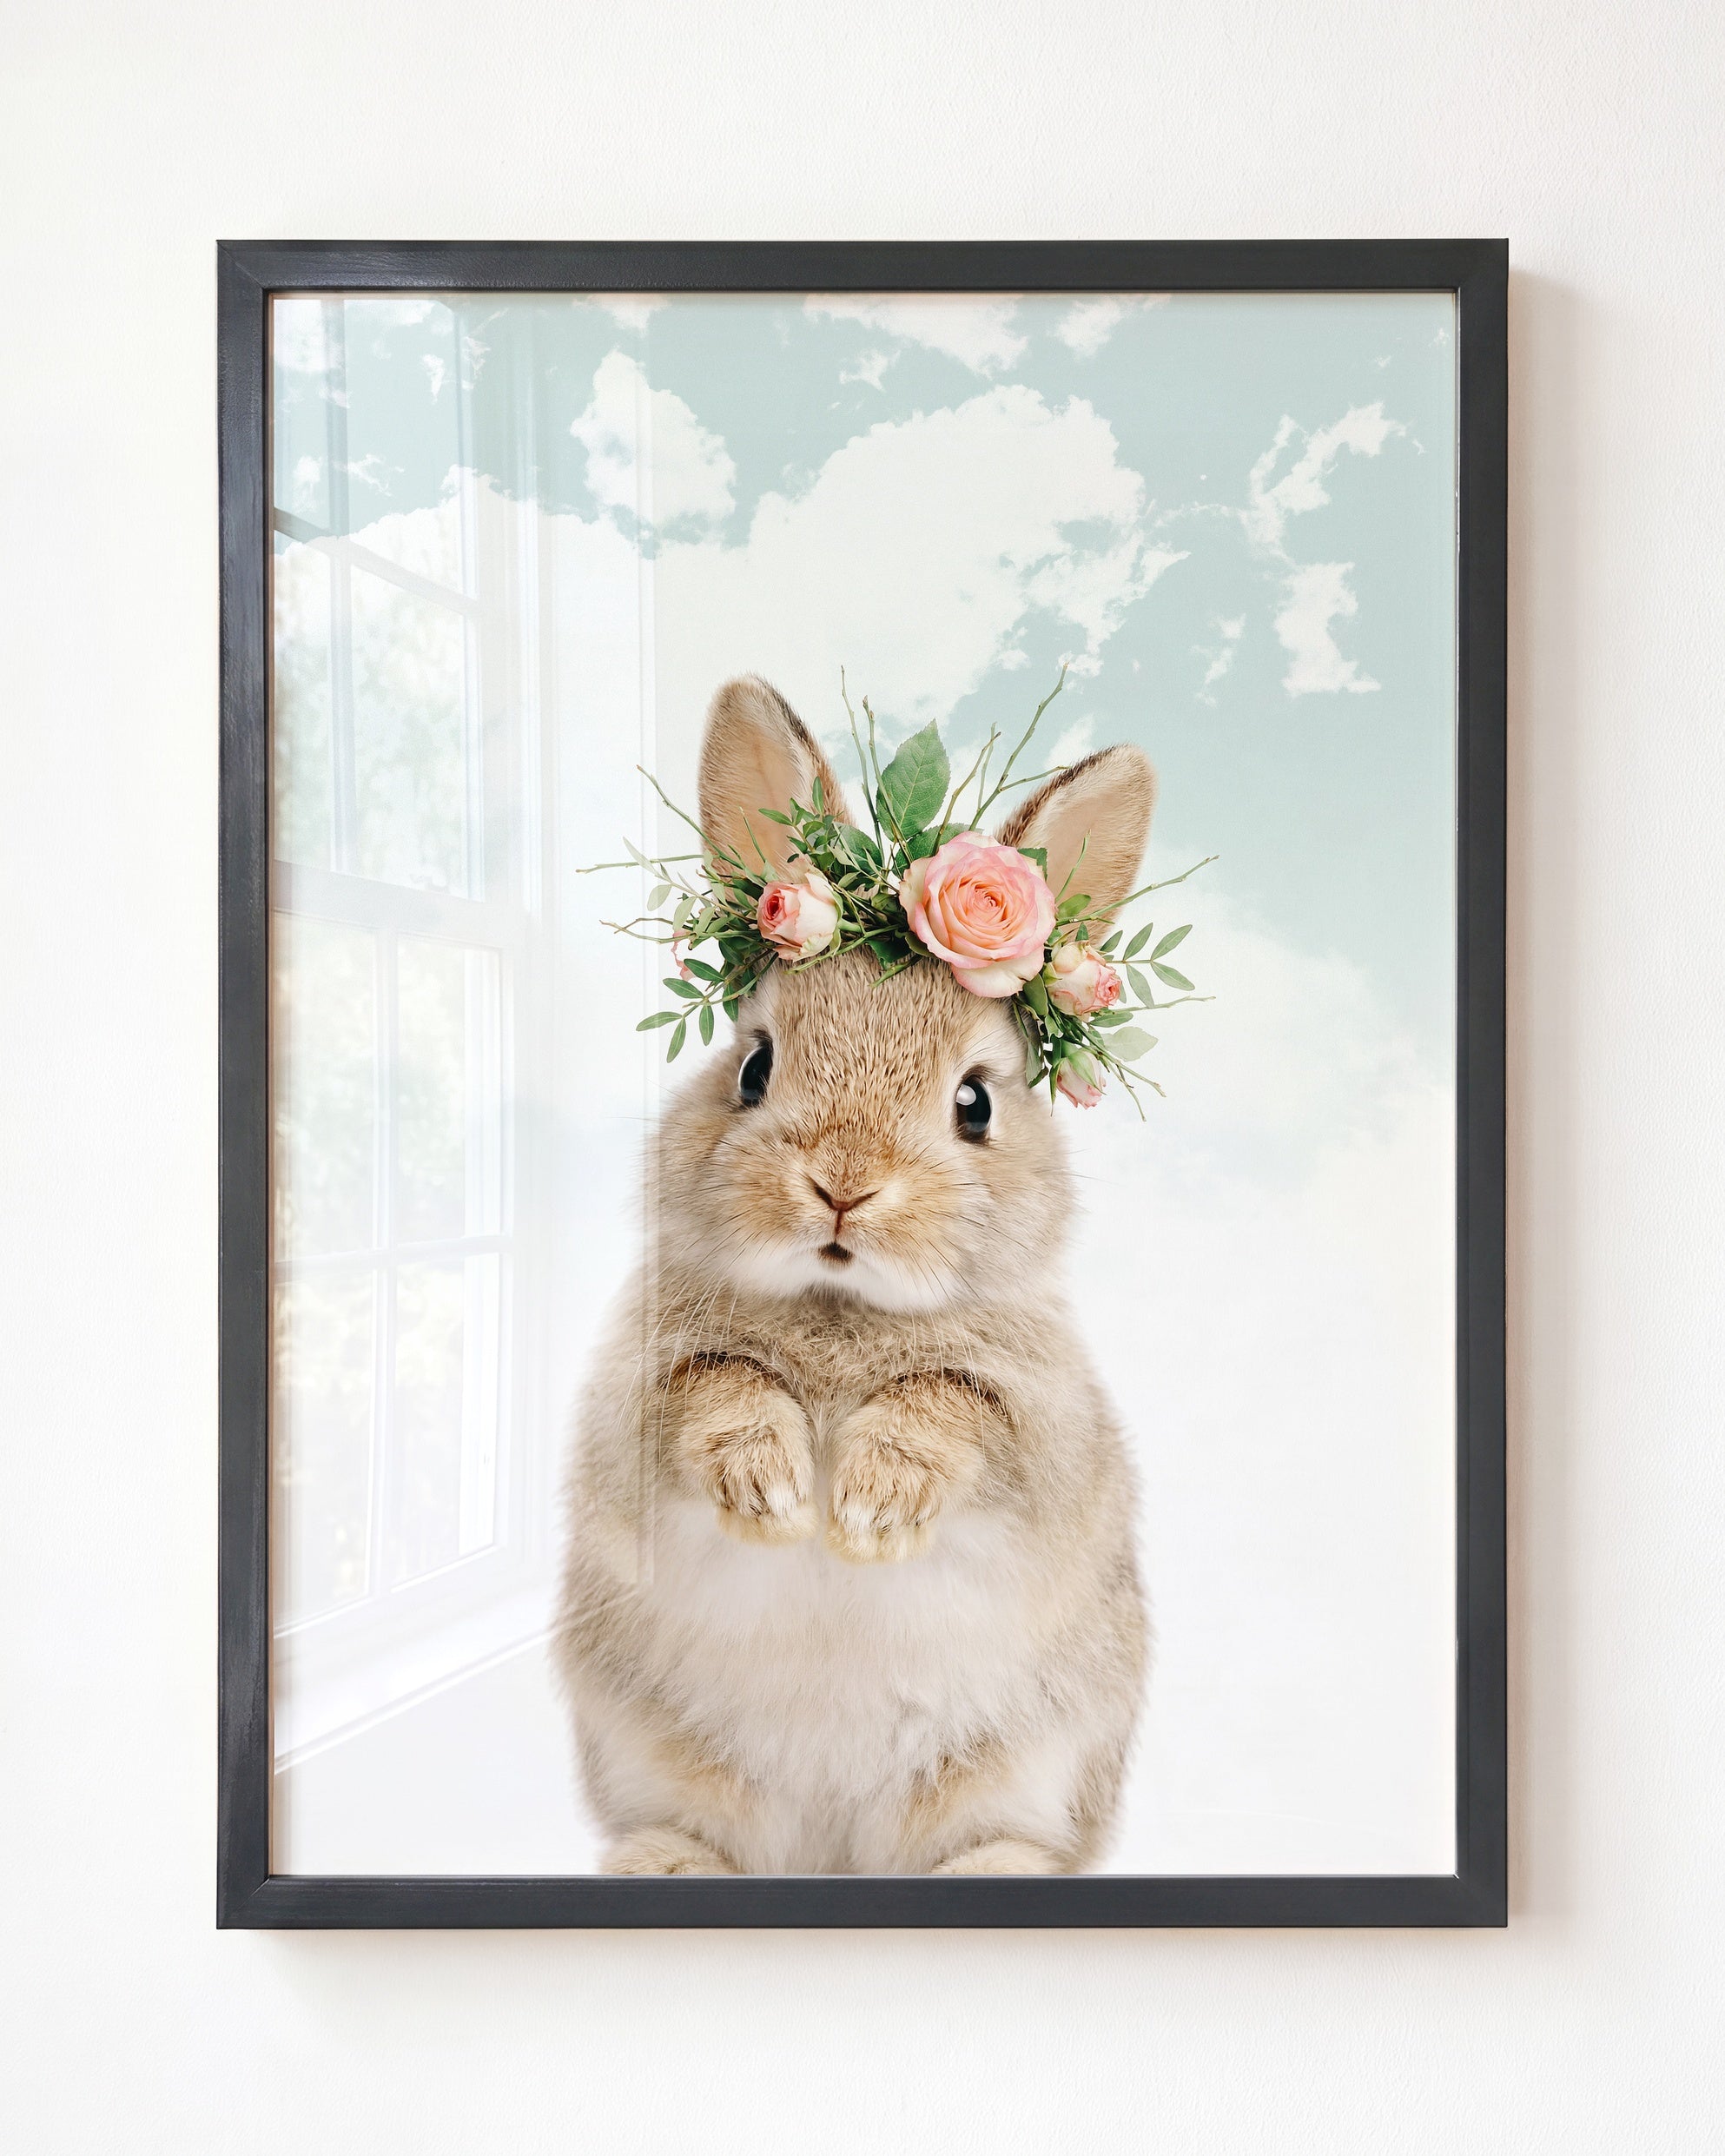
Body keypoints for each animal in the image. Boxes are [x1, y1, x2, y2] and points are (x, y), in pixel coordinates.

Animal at [552, 674, 1154, 1876]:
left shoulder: (1044, 1428)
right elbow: (715, 1386)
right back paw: (665, 1865)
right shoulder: (636, 1394)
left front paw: (869, 1507)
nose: (843, 1185)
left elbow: (952, 1407)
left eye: (976, 1101)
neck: (842, 1307)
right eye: (753, 1066)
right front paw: (776, 1492)